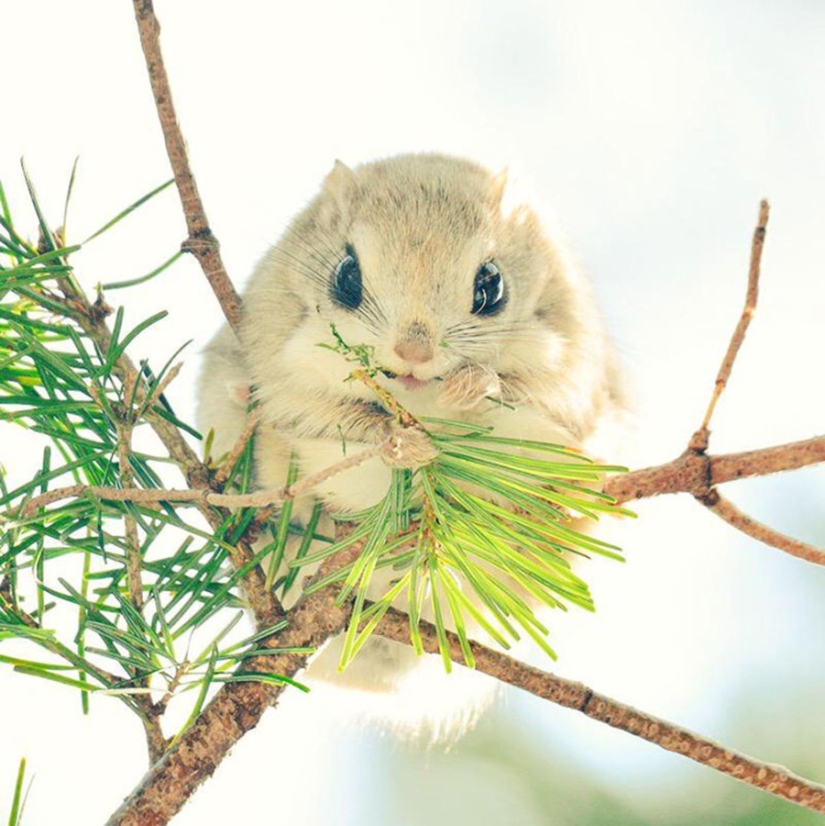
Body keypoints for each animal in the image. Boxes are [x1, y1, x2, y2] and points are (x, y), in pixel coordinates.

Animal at [198, 151, 632, 724]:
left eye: (491, 286)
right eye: (346, 277)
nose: (414, 352)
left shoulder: (568, 381)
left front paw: (472, 388)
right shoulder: (283, 373)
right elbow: (334, 423)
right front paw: (405, 445)